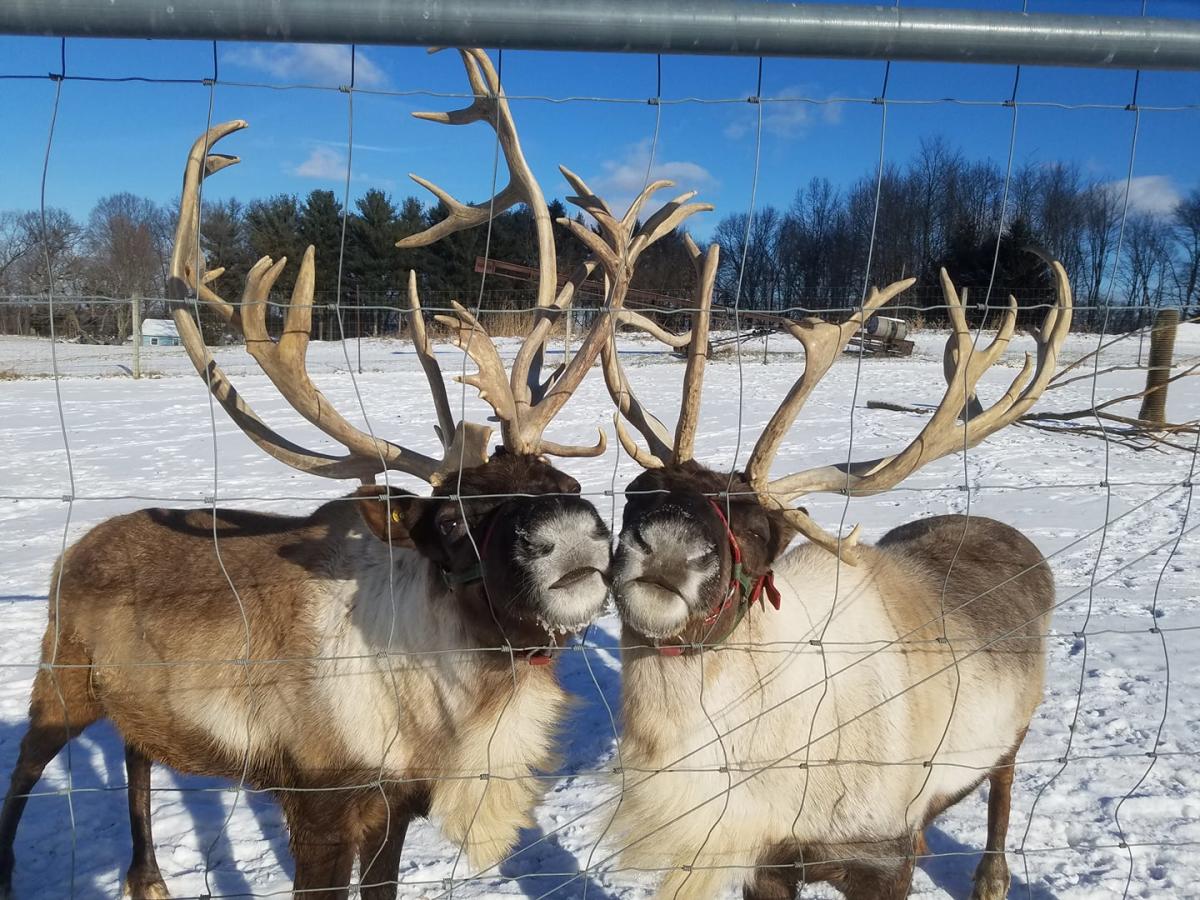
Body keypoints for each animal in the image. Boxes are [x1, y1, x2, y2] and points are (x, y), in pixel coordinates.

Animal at [0, 47, 712, 900]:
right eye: (451, 521)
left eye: (568, 489)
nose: (571, 539)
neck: (441, 700)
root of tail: (75, 549)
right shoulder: (316, 800)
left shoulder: (397, 802)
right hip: (59, 683)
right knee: (21, 776)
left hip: (135, 708)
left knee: (138, 753)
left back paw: (149, 879)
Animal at [598, 249, 1072, 899]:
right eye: (637, 493)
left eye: (759, 533)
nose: (668, 550)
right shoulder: (766, 863)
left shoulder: (880, 858)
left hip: (1015, 727)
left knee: (1003, 785)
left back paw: (991, 878)